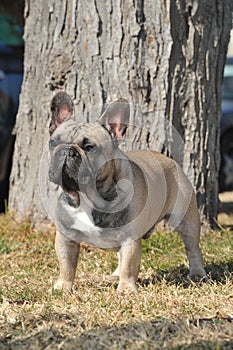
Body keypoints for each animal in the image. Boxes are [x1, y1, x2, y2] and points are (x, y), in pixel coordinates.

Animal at [48, 91, 207, 292]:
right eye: (53, 143)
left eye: (89, 148)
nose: (66, 151)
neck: (87, 197)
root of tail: (168, 159)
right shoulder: (66, 237)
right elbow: (66, 264)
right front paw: (63, 287)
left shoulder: (129, 238)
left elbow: (129, 264)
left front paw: (125, 289)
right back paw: (115, 274)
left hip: (187, 220)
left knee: (192, 248)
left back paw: (198, 274)